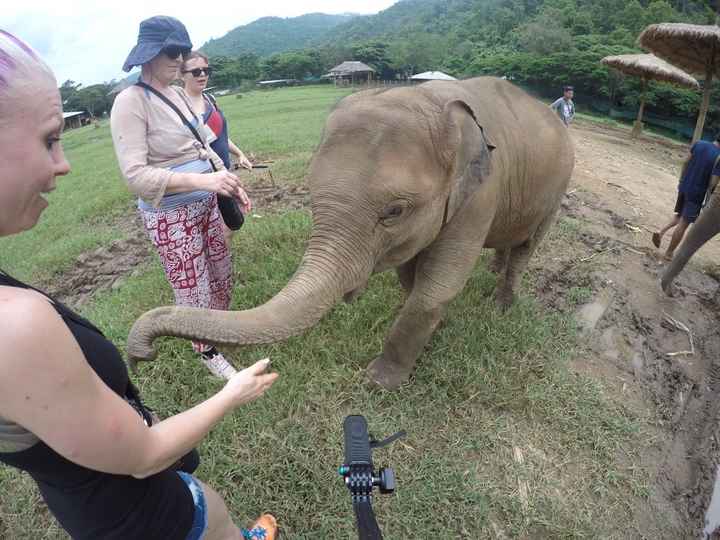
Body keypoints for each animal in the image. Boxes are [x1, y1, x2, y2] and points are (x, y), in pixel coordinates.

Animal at [126, 77, 575, 390]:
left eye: (394, 211)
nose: (139, 357)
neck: (429, 99)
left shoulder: (482, 193)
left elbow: (439, 285)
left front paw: (379, 380)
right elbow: (410, 274)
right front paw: (425, 322)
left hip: (557, 188)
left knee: (527, 247)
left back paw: (501, 303)